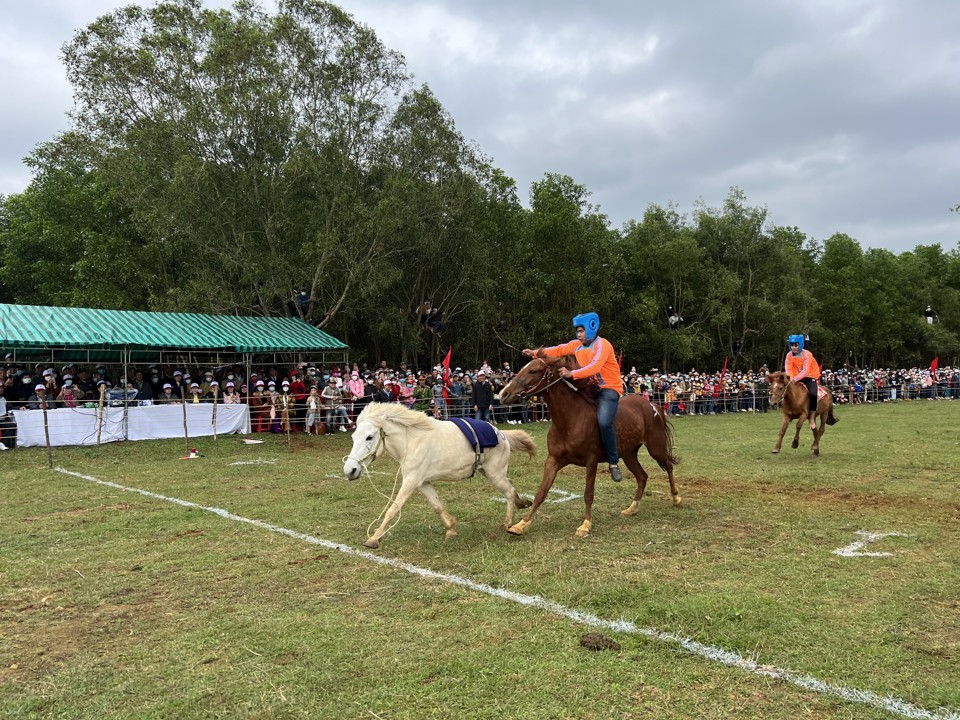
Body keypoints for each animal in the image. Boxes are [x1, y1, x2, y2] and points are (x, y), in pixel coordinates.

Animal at [344, 402, 540, 548]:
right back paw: (521, 504)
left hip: (494, 474)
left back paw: (507, 524)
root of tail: (501, 434)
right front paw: (451, 530)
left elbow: (393, 509)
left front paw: (373, 539)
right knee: (511, 487)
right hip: (490, 472)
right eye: (353, 437)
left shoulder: (411, 481)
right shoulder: (422, 483)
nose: (350, 470)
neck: (411, 441)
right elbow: (437, 506)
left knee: (509, 492)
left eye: (369, 437)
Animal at [498, 358, 680, 536]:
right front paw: (521, 524)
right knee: (642, 477)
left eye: (533, 371)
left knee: (668, 467)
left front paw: (585, 525)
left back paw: (676, 498)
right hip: (629, 455)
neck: (571, 419)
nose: (504, 394)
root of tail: (653, 406)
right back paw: (632, 508)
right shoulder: (553, 460)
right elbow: (541, 492)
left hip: (656, 448)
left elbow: (588, 494)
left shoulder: (591, 460)